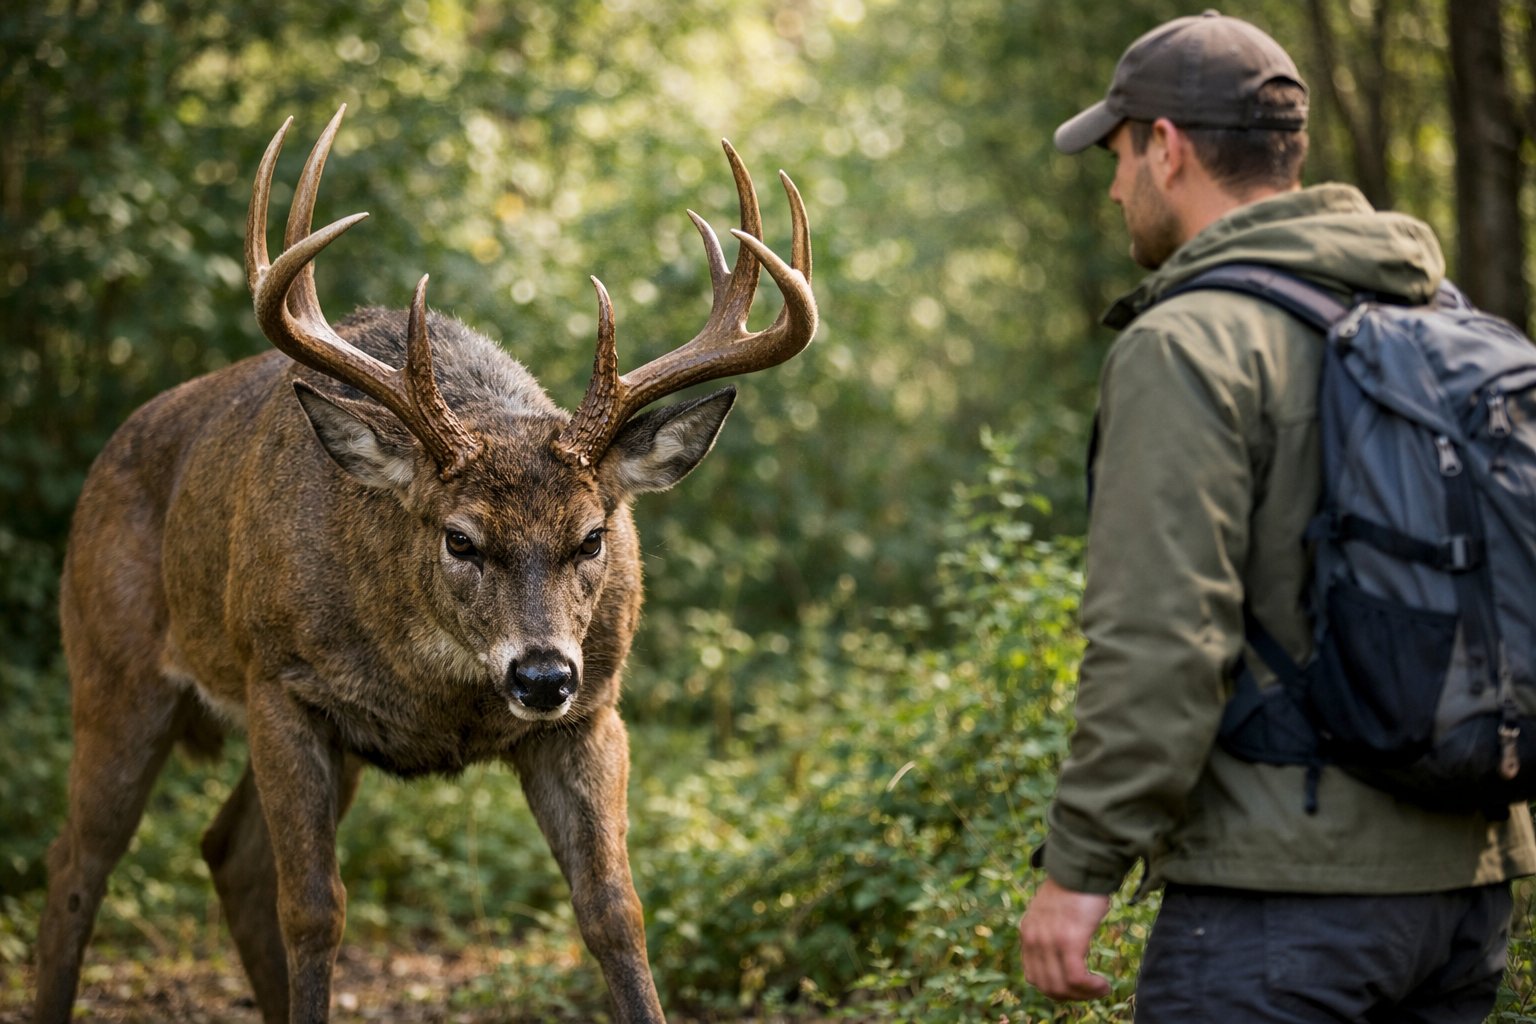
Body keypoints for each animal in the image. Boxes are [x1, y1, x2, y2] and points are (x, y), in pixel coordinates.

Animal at [32, 105, 816, 1024]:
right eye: (460, 538)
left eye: (593, 536)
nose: (542, 675)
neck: (439, 688)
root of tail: (103, 464)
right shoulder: (278, 680)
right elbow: (315, 911)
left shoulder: (596, 708)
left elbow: (614, 910)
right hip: (112, 670)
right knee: (76, 863)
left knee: (228, 852)